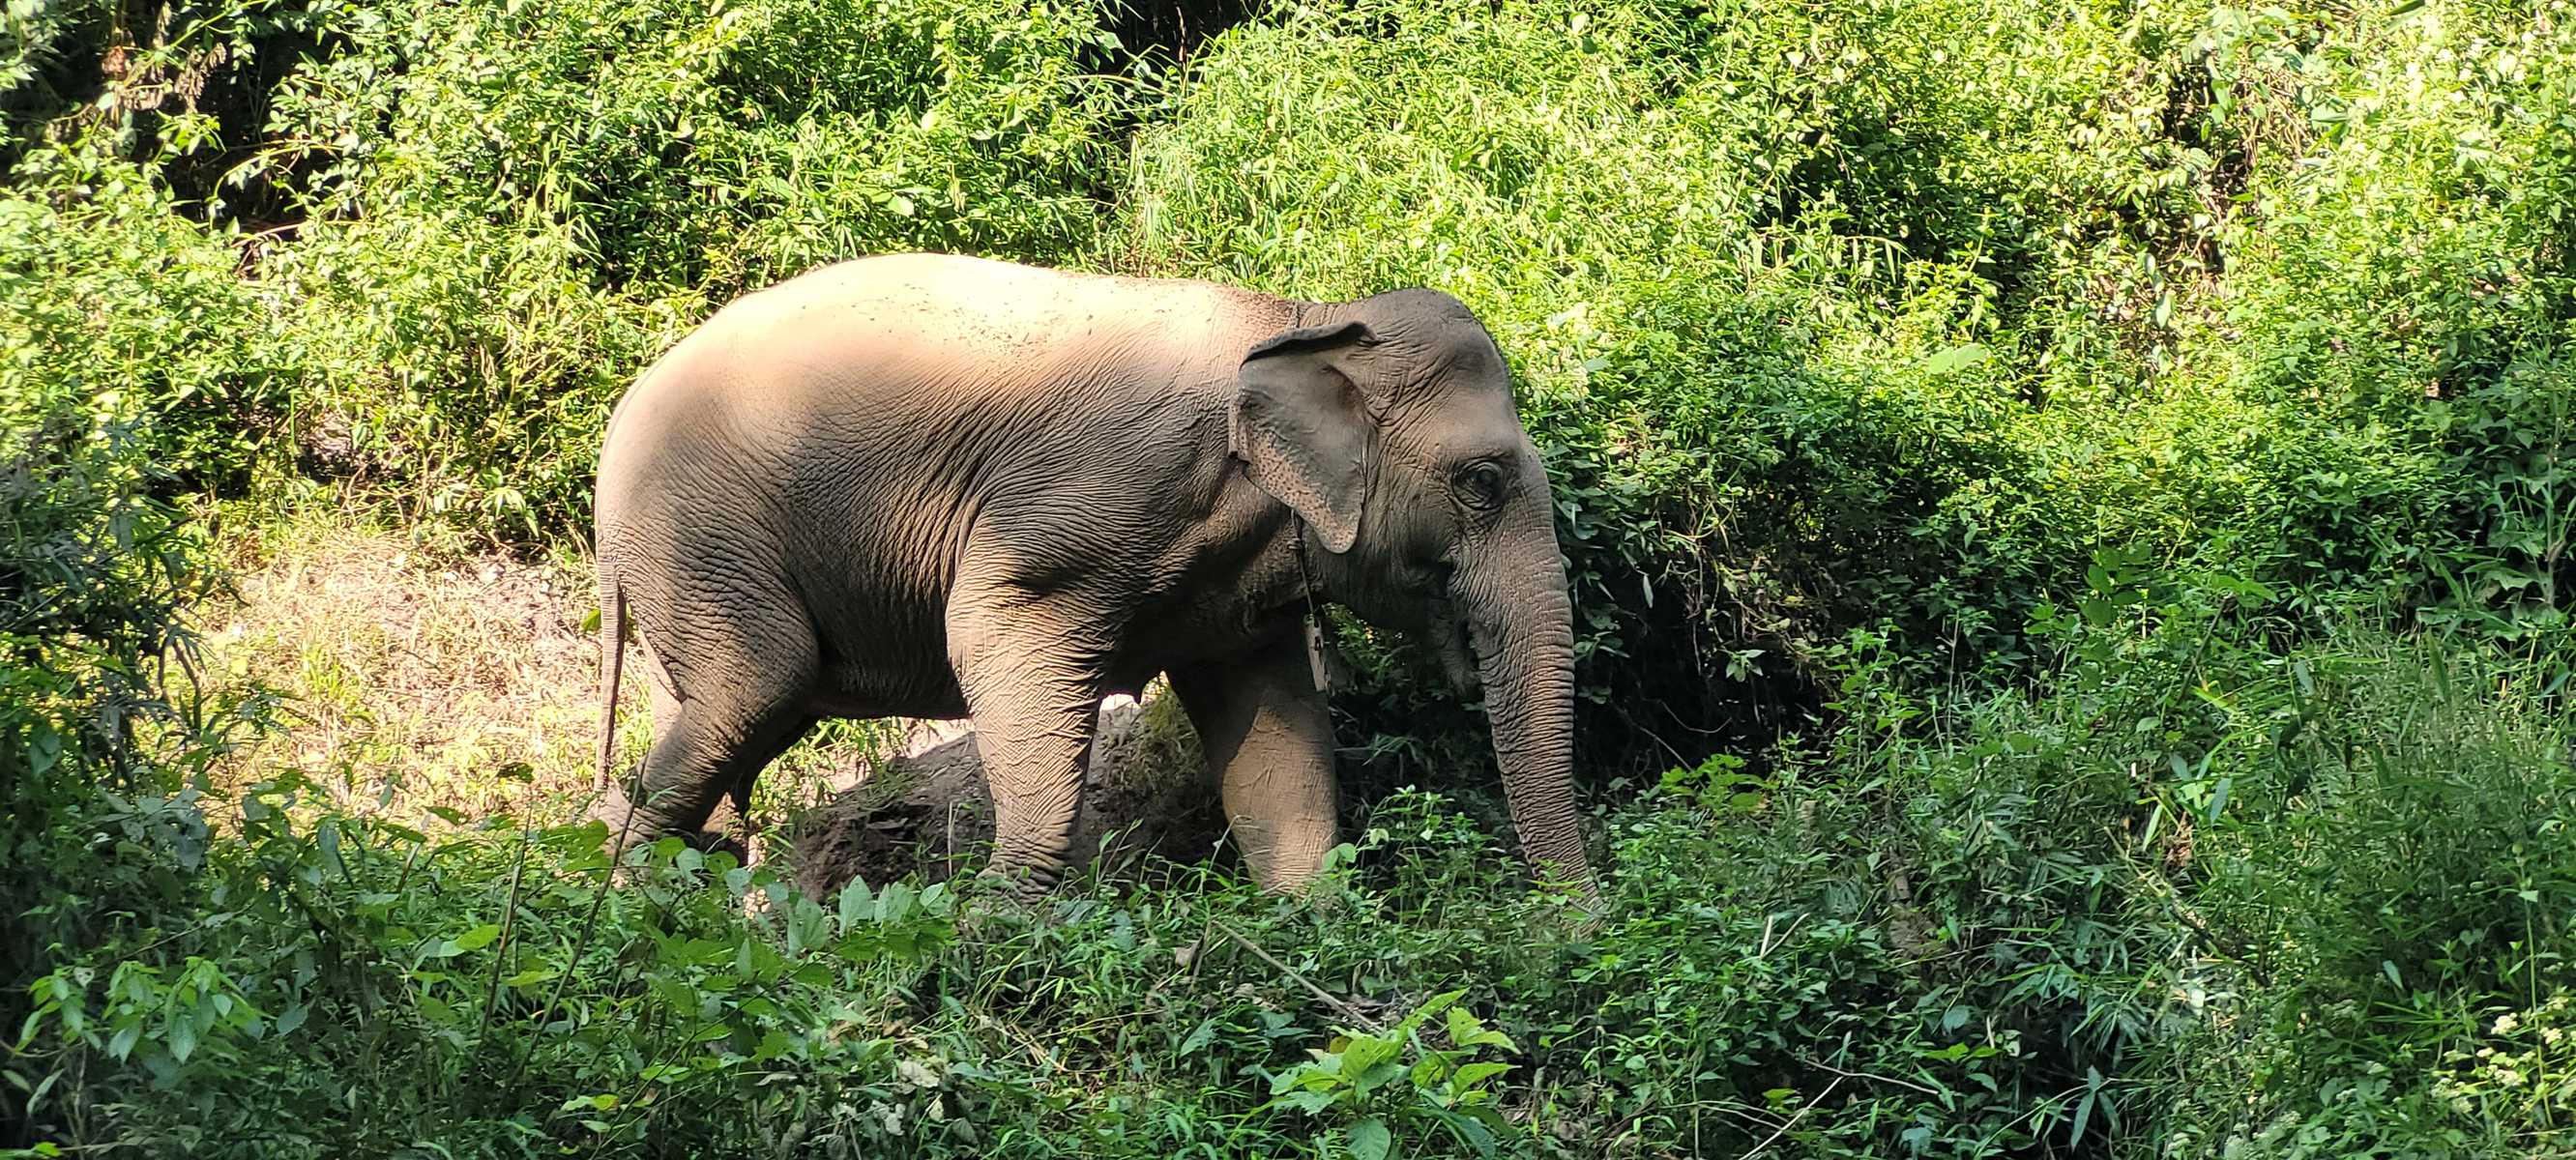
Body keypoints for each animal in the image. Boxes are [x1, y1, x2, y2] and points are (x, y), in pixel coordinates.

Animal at [590, 252, 1595, 903]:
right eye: (1480, 482)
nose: (1577, 930)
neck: (1298, 318)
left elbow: (1272, 730)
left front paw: (1311, 919)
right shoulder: (1091, 500)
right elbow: (992, 632)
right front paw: (993, 921)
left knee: (731, 723)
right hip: (702, 534)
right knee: (756, 686)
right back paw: (626, 911)